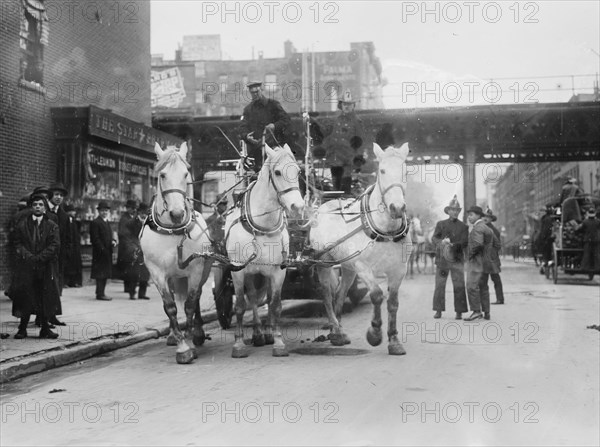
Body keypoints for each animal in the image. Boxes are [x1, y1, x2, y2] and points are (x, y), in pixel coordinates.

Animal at [140, 143, 213, 364]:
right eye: (162, 175)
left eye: (186, 173)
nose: (178, 213)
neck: (173, 231)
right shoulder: (156, 273)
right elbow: (170, 307)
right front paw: (181, 346)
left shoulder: (196, 270)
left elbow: (190, 304)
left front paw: (189, 341)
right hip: (171, 277)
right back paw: (173, 335)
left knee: (196, 298)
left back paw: (197, 332)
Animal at [223, 145, 302, 358]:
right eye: (277, 172)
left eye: (298, 172)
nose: (298, 207)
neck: (262, 226)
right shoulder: (238, 270)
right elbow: (240, 306)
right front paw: (238, 344)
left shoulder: (278, 270)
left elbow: (275, 305)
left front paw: (279, 341)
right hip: (250, 271)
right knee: (251, 297)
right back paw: (257, 333)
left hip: (264, 271)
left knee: (264, 297)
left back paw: (266, 332)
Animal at [310, 142, 412, 356]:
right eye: (382, 170)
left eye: (405, 171)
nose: (397, 207)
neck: (385, 231)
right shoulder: (363, 267)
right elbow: (376, 295)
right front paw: (374, 333)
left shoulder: (399, 269)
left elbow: (393, 303)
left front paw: (394, 341)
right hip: (324, 262)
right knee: (327, 294)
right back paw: (335, 329)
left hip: (347, 267)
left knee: (340, 293)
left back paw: (339, 332)